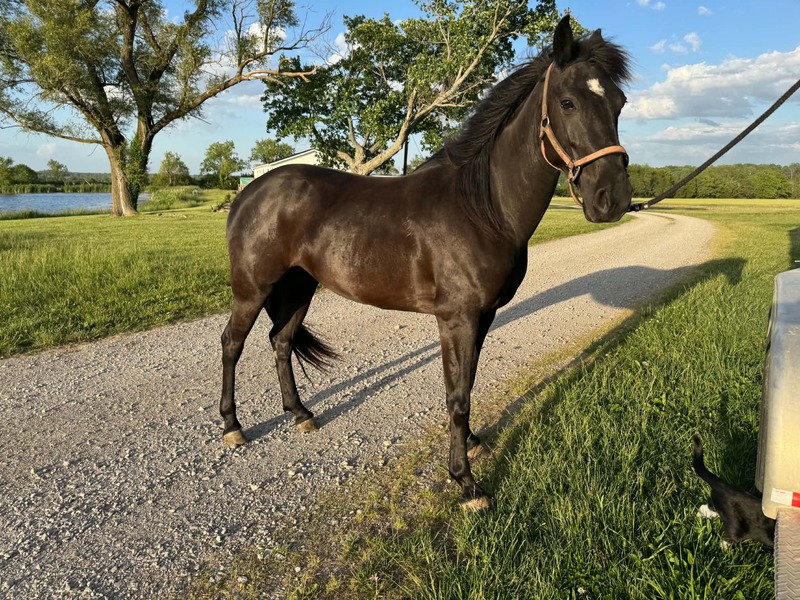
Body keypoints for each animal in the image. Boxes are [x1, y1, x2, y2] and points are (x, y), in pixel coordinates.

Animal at [220, 16, 633, 511]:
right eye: (568, 102)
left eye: (619, 103)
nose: (612, 199)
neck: (482, 210)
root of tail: (248, 192)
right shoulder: (457, 318)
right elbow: (456, 395)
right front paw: (466, 482)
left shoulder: (482, 316)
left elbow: (467, 386)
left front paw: (472, 443)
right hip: (253, 287)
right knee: (232, 344)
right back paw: (232, 427)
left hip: (300, 286)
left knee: (280, 342)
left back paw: (301, 414)